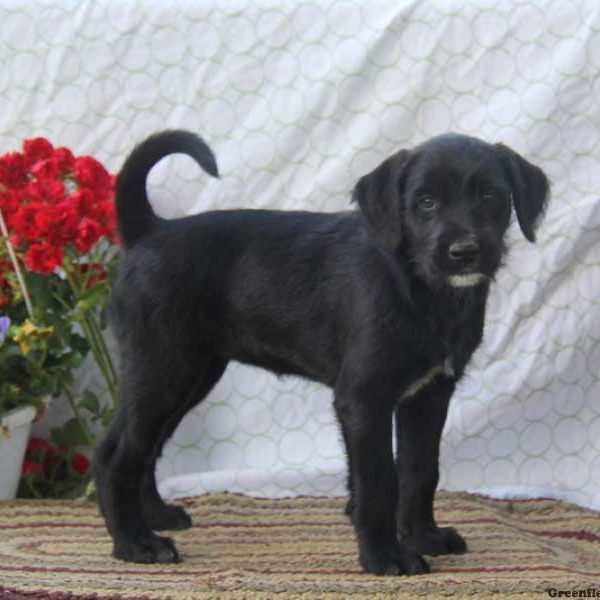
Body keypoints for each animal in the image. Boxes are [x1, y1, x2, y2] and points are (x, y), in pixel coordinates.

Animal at [95, 131, 548, 576]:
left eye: (490, 195)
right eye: (425, 201)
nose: (464, 252)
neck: (418, 288)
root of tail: (150, 231)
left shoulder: (430, 395)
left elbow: (420, 470)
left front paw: (424, 537)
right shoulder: (363, 398)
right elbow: (378, 481)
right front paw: (385, 557)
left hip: (190, 375)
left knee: (137, 447)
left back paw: (155, 517)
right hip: (163, 370)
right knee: (118, 456)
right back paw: (136, 544)